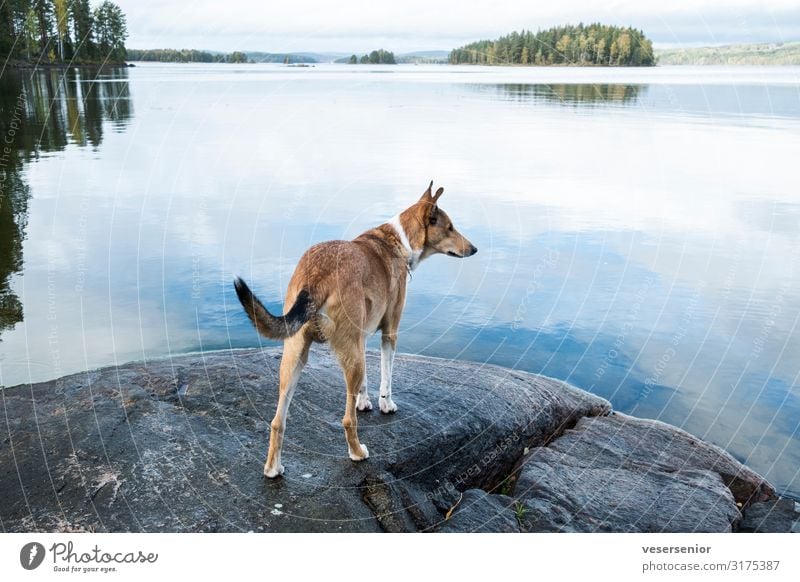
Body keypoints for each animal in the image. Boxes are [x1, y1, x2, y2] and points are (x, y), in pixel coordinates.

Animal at [234, 182, 478, 480]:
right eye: (450, 227)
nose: (474, 249)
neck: (398, 241)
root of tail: (316, 276)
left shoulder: (361, 338)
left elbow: (363, 384)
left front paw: (363, 400)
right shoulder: (389, 332)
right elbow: (386, 377)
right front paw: (386, 405)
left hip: (296, 355)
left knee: (277, 421)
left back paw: (273, 468)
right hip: (346, 355)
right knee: (347, 419)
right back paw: (357, 453)